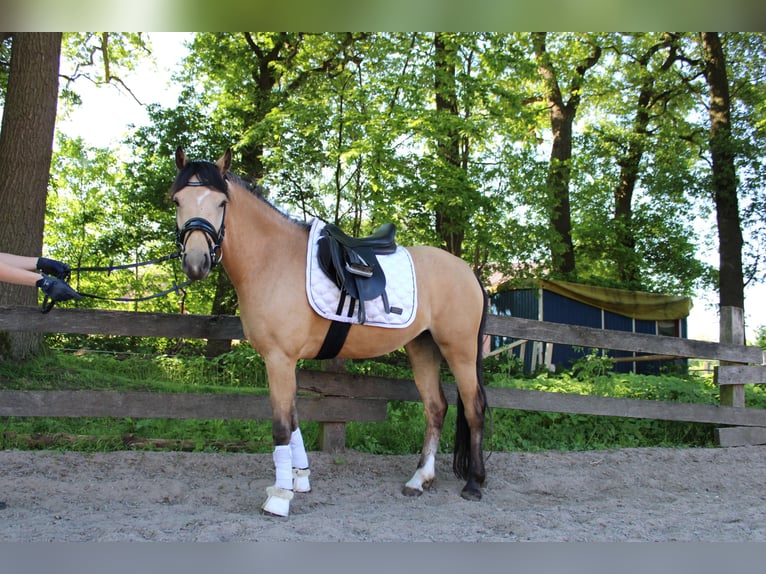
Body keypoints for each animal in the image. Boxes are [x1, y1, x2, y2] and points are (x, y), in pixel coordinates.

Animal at [171, 147, 488, 516]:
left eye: (221, 202)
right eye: (177, 200)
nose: (196, 262)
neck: (272, 260)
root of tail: (466, 270)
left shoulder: (279, 359)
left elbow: (282, 427)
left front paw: (279, 498)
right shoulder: (284, 362)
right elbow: (294, 422)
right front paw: (298, 480)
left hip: (459, 350)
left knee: (474, 408)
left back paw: (474, 484)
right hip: (422, 347)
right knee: (435, 408)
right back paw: (419, 479)